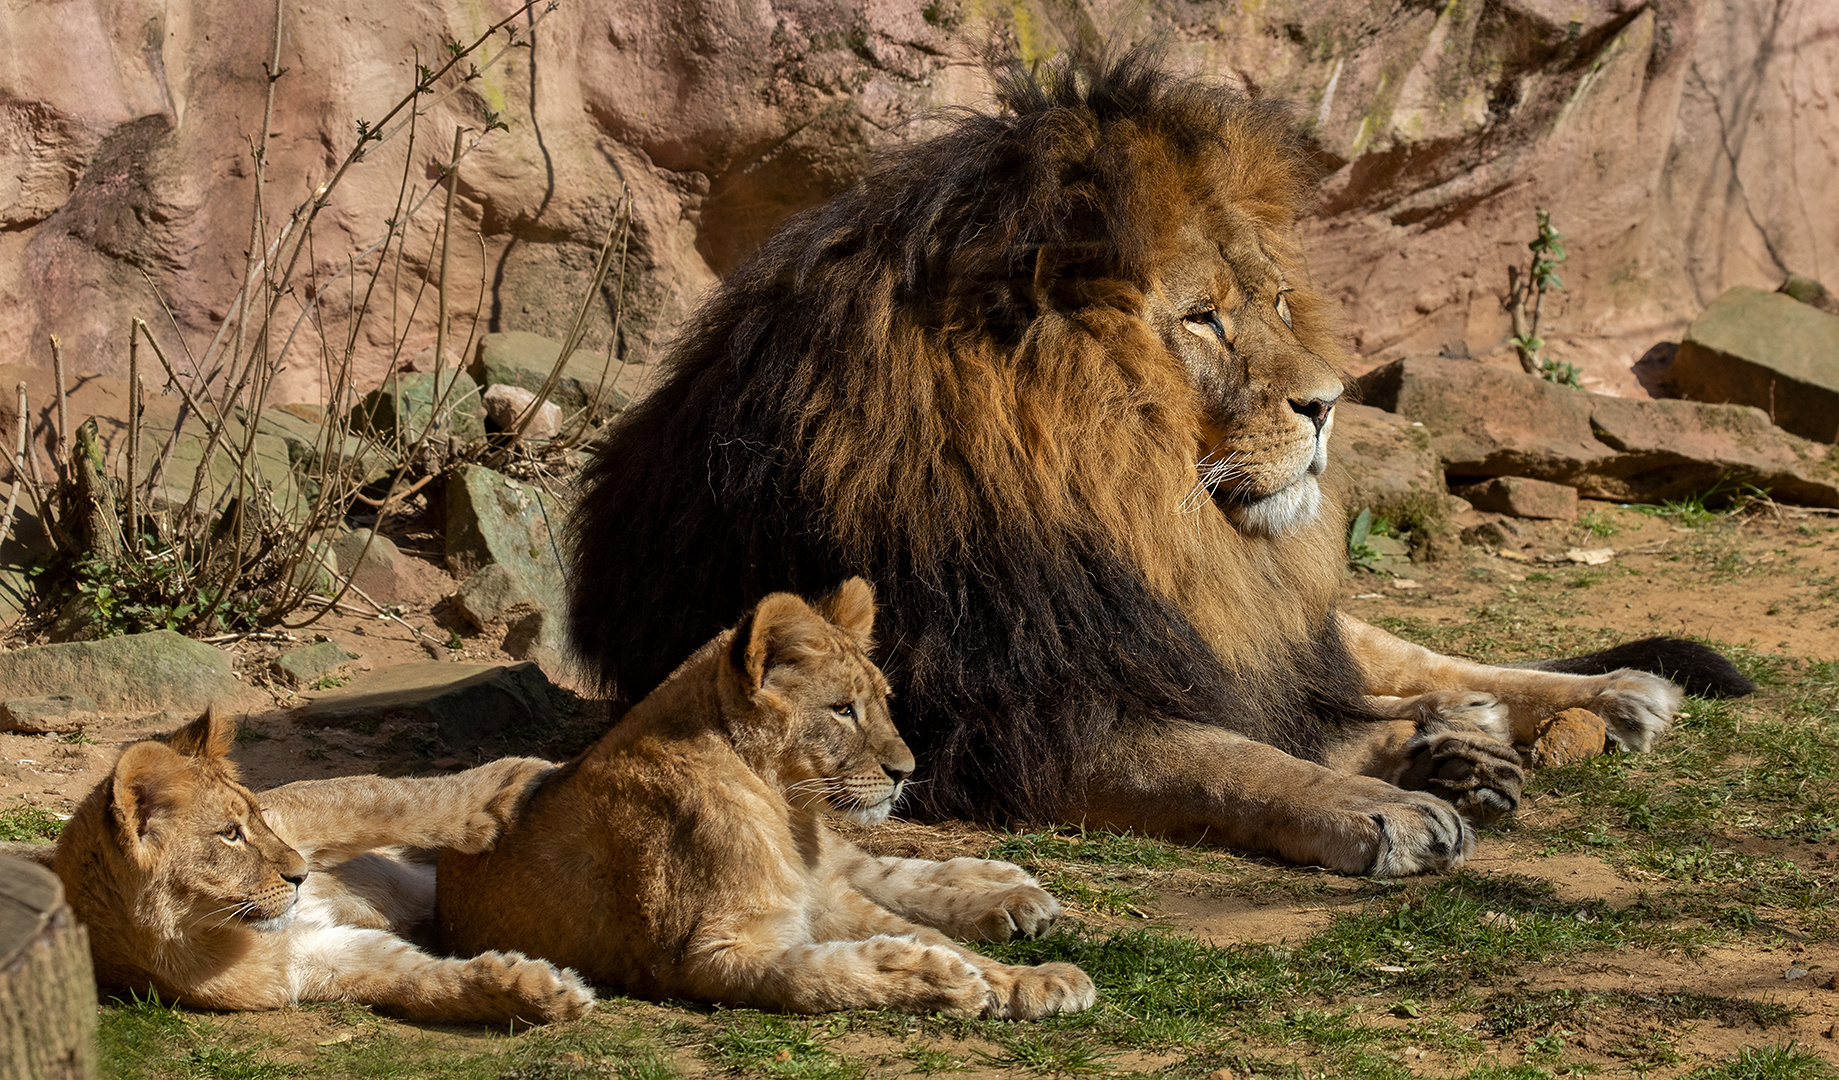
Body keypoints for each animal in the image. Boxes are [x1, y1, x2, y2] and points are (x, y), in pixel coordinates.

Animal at [566, 52, 1743, 879]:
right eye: (1202, 319)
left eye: (1274, 304)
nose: (1330, 400)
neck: (1122, 506)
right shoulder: (1011, 713)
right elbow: (1230, 755)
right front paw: (1387, 803)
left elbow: (1272, 722)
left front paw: (1428, 761)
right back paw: (1459, 741)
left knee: (1398, 656)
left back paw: (1605, 696)